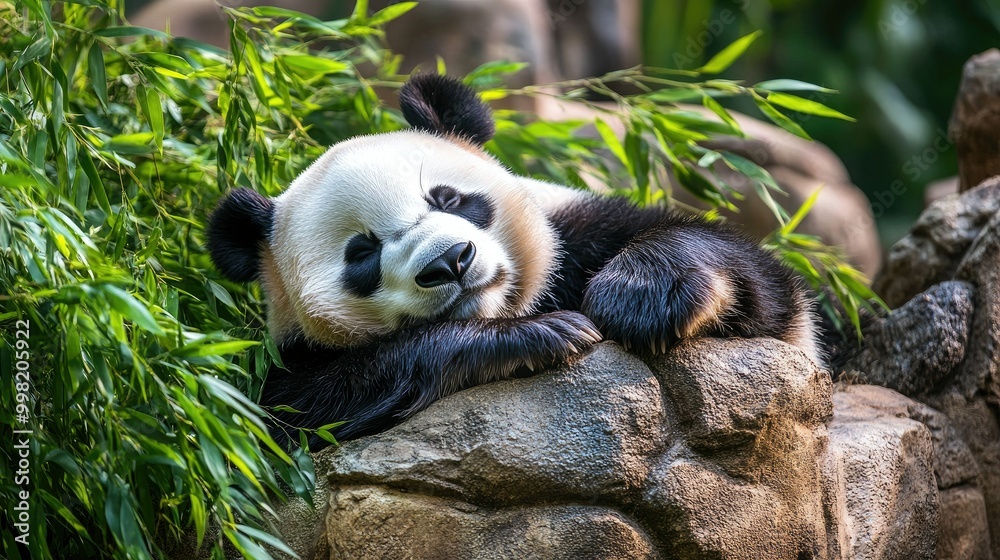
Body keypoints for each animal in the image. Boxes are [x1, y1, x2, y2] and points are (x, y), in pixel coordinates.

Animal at [207, 74, 820, 448]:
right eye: (363, 253)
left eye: (448, 199)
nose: (451, 262)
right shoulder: (289, 363)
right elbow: (299, 415)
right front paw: (542, 334)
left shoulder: (578, 233)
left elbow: (765, 290)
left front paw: (643, 299)